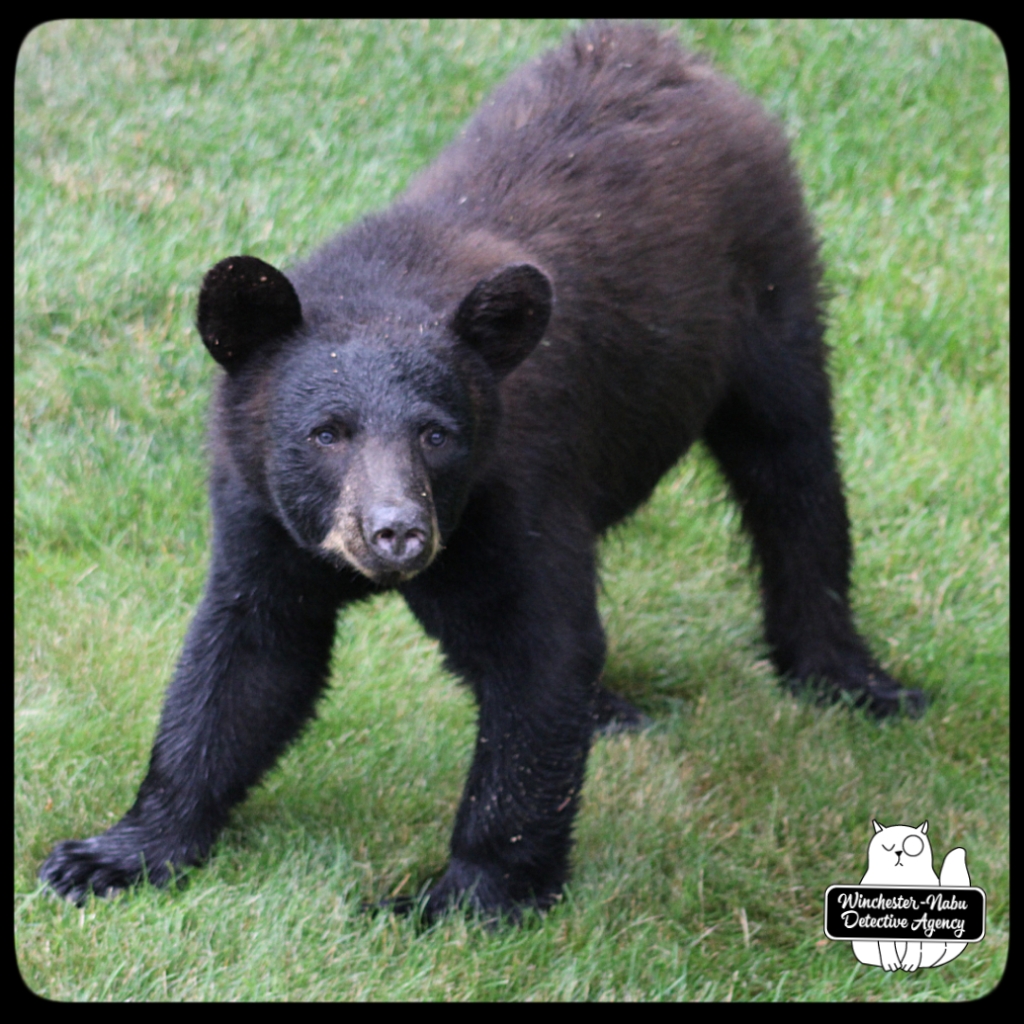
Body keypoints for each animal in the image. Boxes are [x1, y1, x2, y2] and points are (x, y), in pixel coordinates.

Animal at [40, 22, 925, 918]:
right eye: (326, 432)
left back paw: (850, 677)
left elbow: (535, 658)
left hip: (771, 292)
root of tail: (661, 48)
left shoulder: (514, 491)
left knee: (793, 472)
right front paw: (109, 855)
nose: (396, 533)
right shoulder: (262, 511)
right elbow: (247, 660)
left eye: (437, 435)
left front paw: (457, 899)